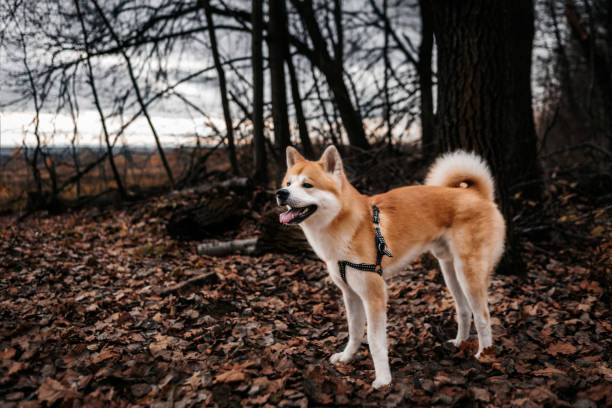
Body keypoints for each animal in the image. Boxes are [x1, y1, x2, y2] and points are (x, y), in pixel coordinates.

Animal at [274, 145, 504, 388]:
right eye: (288, 183)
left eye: (307, 185)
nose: (281, 193)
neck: (350, 226)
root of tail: (477, 194)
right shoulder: (350, 294)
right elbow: (354, 331)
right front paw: (347, 357)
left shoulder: (374, 295)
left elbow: (375, 342)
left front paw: (383, 380)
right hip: (450, 272)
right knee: (464, 309)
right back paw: (460, 342)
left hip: (468, 273)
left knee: (483, 316)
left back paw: (484, 353)